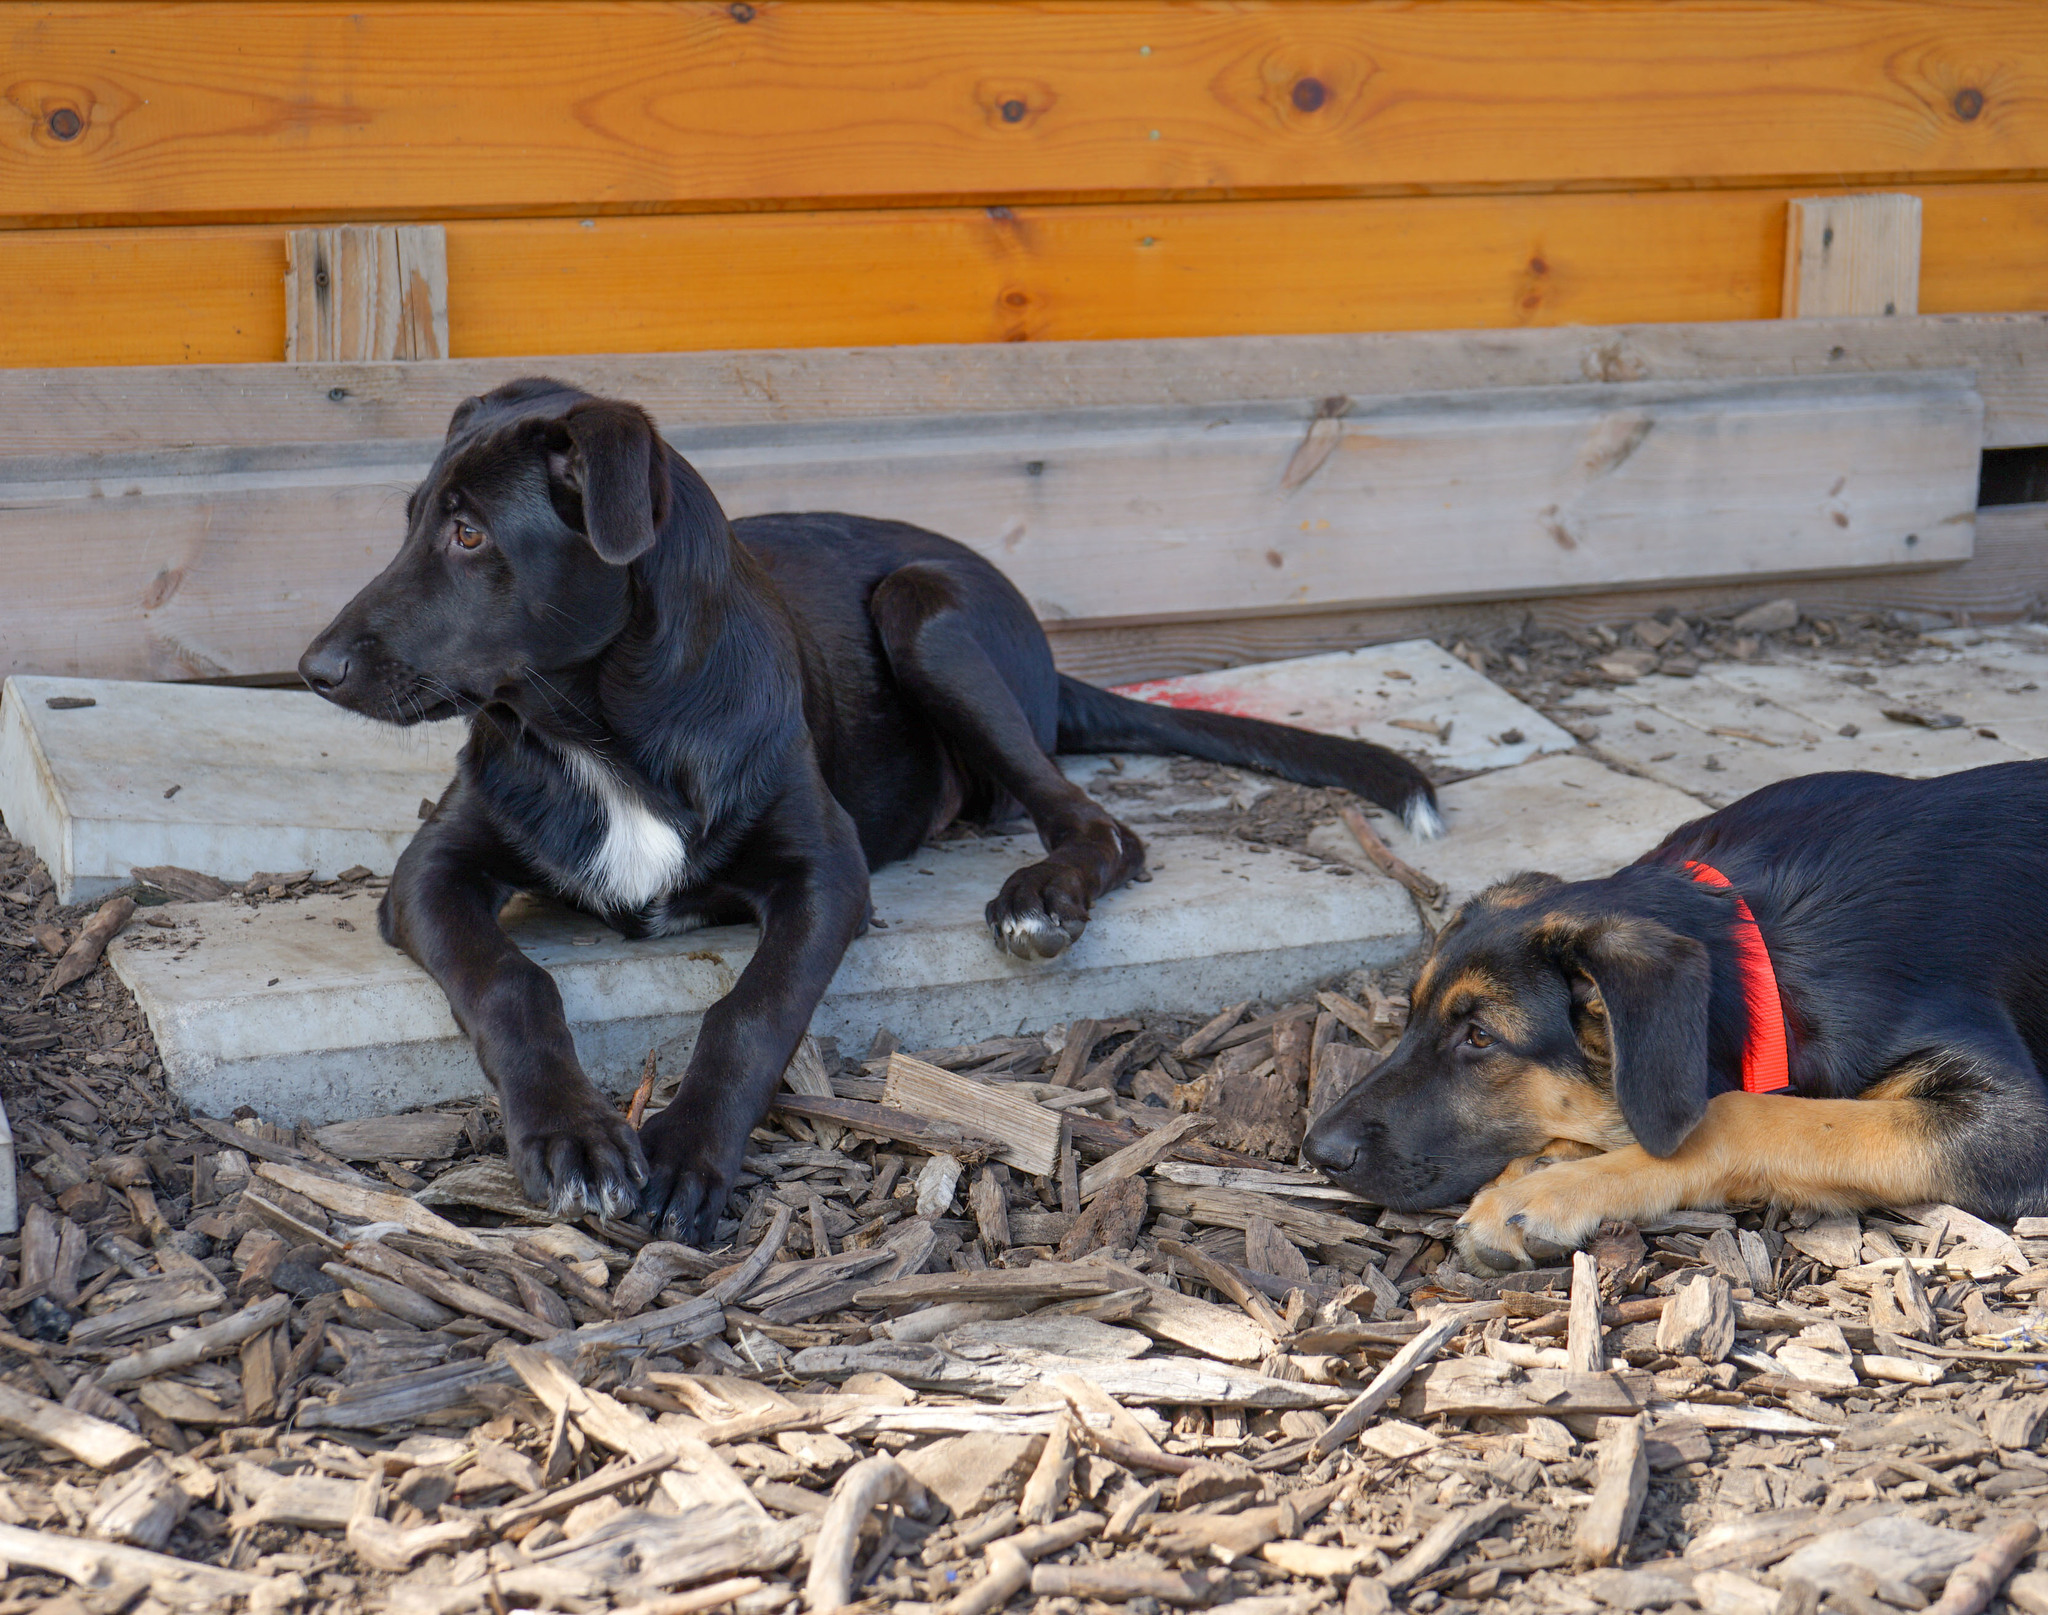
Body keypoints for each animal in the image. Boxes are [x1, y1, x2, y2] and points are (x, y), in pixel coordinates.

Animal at [296, 384, 1441, 1244]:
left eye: (468, 533)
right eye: (412, 521)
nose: (313, 668)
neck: (603, 736)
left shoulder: (824, 873)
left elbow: (752, 1011)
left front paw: (689, 1151)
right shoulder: (432, 869)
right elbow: (508, 979)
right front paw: (571, 1134)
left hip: (926, 612)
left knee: (1100, 824)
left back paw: (1040, 896)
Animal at [1302, 757, 2048, 1269]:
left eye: (1480, 1037)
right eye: (1410, 1016)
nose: (1316, 1152)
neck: (1764, 947)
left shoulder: (2019, 1122)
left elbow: (1739, 1114)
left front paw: (1549, 1191)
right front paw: (1545, 1164)